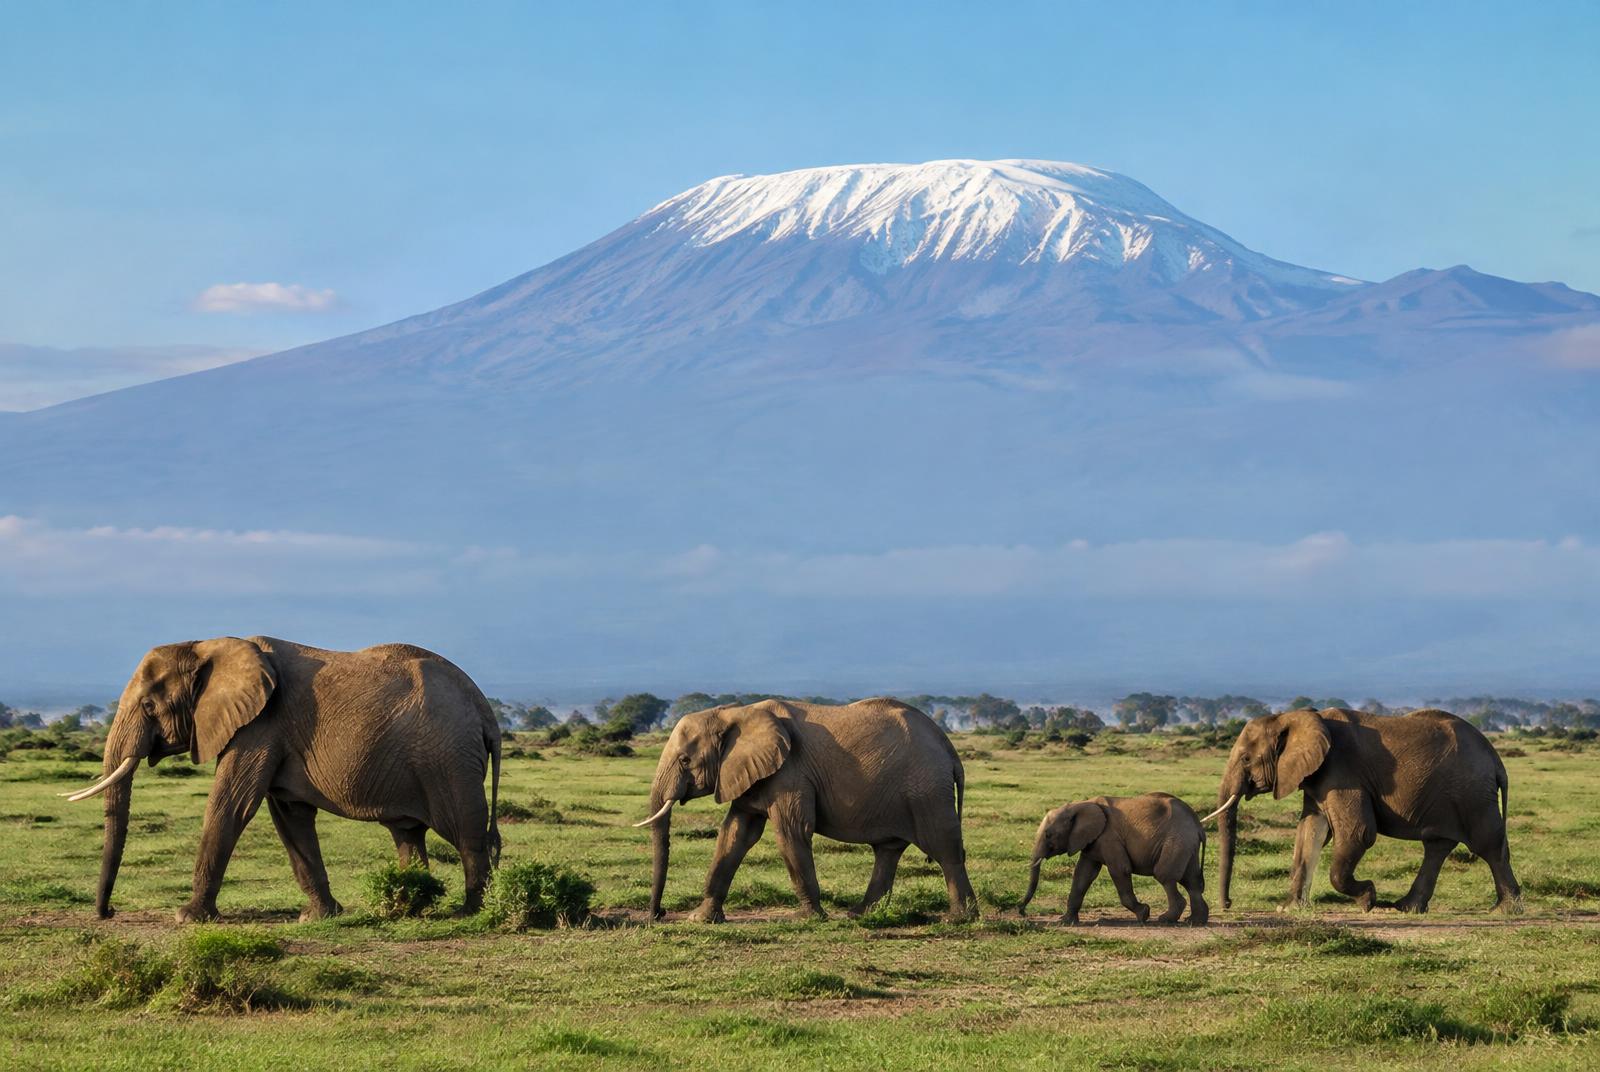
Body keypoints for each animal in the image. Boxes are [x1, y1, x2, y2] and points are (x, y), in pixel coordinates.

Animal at [62, 636, 502, 922]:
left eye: (150, 705)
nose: (109, 912)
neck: (207, 645)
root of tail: (484, 709)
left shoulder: (260, 725)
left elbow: (231, 804)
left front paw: (187, 918)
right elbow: (290, 817)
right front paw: (319, 918)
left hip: (449, 760)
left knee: (467, 832)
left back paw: (470, 910)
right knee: (409, 835)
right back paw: (409, 907)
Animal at [635, 698, 977, 922]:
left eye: (685, 760)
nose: (659, 914)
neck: (735, 712)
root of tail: (950, 750)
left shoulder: (790, 771)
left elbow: (792, 831)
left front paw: (810, 918)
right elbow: (735, 834)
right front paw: (702, 919)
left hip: (928, 791)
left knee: (944, 848)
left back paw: (960, 919)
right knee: (888, 851)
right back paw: (858, 914)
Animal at [1017, 793, 1208, 925]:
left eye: (1048, 835)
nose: (1022, 911)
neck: (1079, 805)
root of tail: (1198, 826)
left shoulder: (1109, 837)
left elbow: (1120, 870)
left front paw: (1144, 915)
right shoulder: (1092, 840)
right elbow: (1083, 875)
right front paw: (1065, 922)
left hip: (1176, 840)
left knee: (1165, 875)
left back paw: (1166, 919)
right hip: (1186, 844)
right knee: (1191, 881)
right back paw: (1195, 921)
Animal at [1210, 707, 1521, 914]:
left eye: (1246, 758)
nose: (1228, 905)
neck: (1292, 717)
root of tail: (1496, 759)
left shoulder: (1342, 770)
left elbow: (1358, 833)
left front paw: (1368, 900)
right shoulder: (1316, 777)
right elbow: (1309, 832)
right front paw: (1289, 909)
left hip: (1473, 793)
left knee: (1488, 844)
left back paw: (1505, 910)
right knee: (1437, 846)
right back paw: (1407, 908)